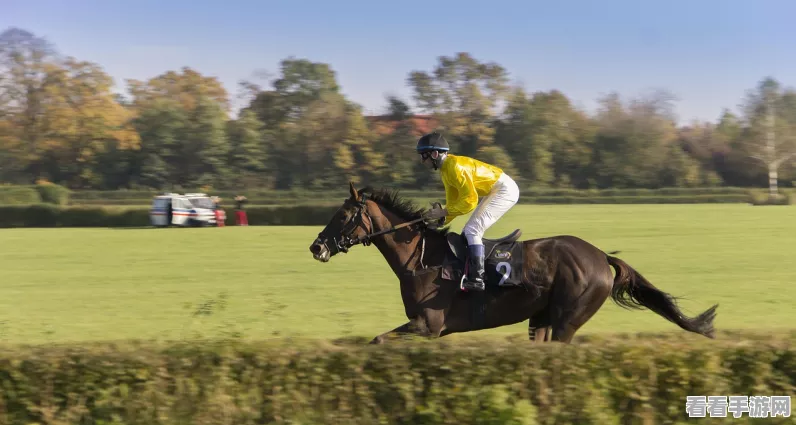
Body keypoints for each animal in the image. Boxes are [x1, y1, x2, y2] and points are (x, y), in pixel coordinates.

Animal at [308, 181, 720, 342]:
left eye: (343, 215)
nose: (316, 247)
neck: (421, 258)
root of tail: (601, 256)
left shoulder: (428, 325)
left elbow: (378, 340)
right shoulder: (429, 329)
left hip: (568, 319)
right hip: (541, 319)